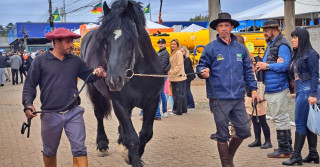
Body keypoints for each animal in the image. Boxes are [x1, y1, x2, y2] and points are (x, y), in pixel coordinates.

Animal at [80, 0, 165, 166]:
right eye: (105, 41)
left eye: (130, 40)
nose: (114, 80)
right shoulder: (119, 103)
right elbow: (132, 138)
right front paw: (134, 158)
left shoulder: (152, 101)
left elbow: (146, 134)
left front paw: (132, 155)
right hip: (94, 90)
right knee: (99, 114)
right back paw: (102, 144)